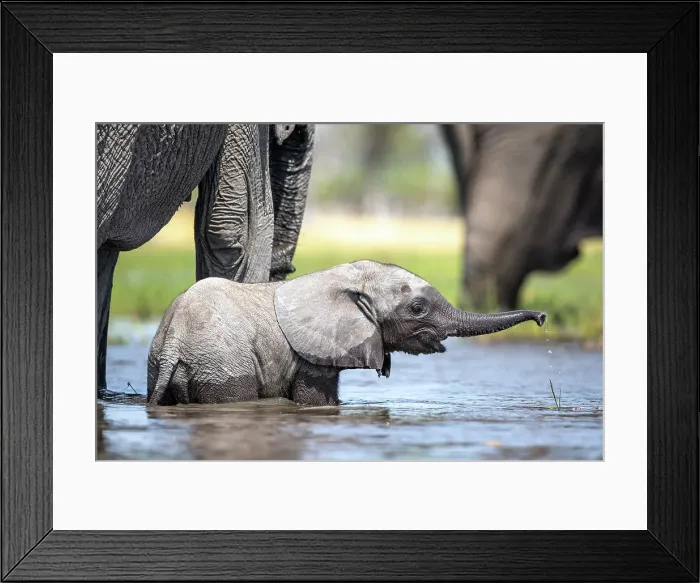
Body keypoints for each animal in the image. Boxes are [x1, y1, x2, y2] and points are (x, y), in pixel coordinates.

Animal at [146, 260, 546, 406]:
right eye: (417, 308)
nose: (542, 317)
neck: (347, 277)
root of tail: (174, 338)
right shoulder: (315, 351)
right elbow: (317, 402)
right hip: (223, 361)